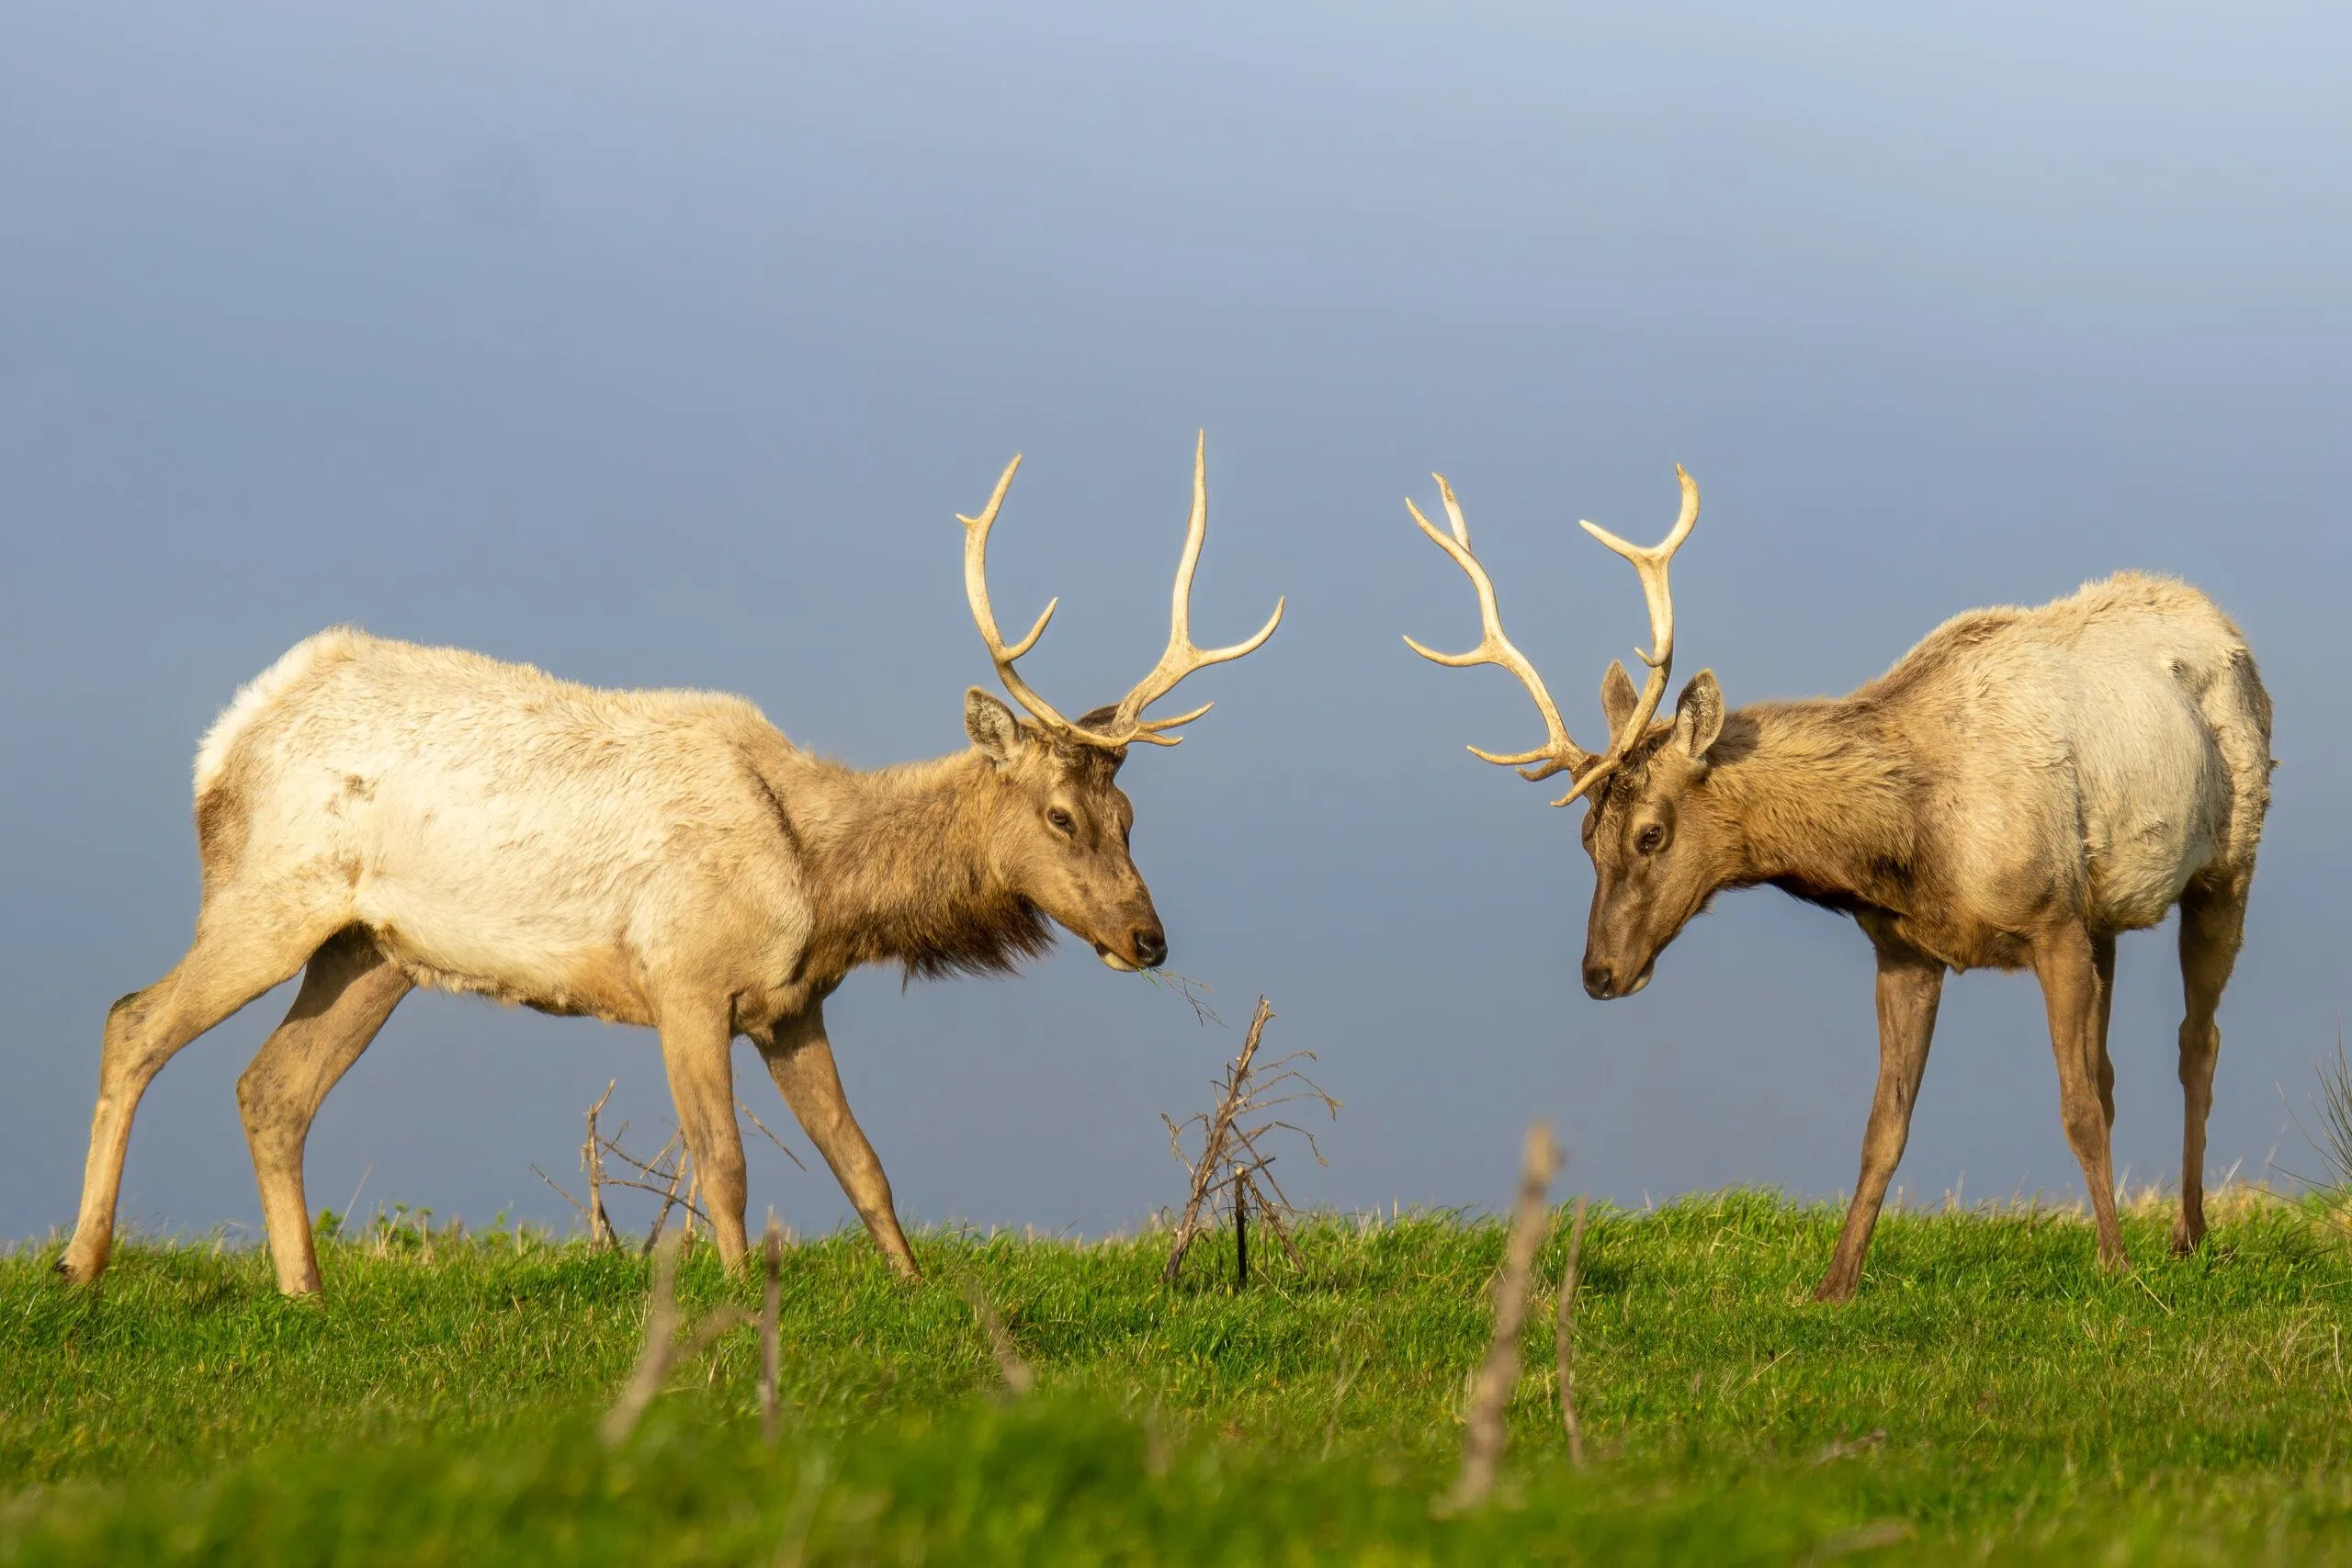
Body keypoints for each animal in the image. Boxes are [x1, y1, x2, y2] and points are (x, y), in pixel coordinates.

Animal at [59, 432, 1281, 1297]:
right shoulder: (684, 980)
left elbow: (863, 1161)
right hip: (271, 895)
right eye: (1061, 815)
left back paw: (305, 1290)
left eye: (1130, 814)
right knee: (132, 1019)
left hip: (370, 951)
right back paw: (83, 1265)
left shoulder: (791, 1004)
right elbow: (724, 1164)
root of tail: (225, 743)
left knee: (270, 1091)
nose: (1147, 939)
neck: (819, 884)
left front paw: (917, 1286)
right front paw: (734, 1301)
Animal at [1403, 467, 2271, 1300]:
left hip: (2230, 858)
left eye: (1651, 831)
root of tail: (2223, 620)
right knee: (2118, 1063)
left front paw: (2117, 1269)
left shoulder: (2052, 918)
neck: (1916, 843)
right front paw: (1834, 1283)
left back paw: (2188, 1234)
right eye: (1586, 838)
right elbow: (1884, 1126)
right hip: (2107, 918)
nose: (1599, 972)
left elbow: (2077, 1106)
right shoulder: (1906, 948)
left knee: (2197, 1042)